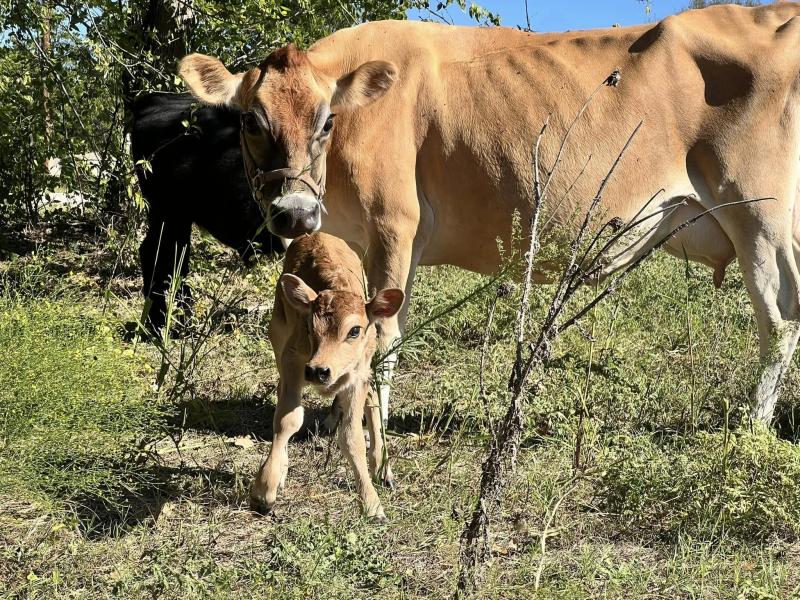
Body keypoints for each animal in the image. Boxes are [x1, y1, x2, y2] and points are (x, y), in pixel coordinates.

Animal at [178, 2, 800, 443]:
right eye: (250, 120)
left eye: (327, 119)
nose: (295, 212)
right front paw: (335, 415)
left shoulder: (393, 225)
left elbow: (384, 332)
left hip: (757, 212)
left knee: (780, 321)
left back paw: (752, 425)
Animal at [252, 231, 403, 518]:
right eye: (310, 328)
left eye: (354, 330)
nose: (318, 370)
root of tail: (315, 234)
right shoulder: (292, 360)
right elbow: (287, 420)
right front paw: (266, 488)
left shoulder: (358, 375)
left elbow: (352, 436)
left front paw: (372, 504)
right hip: (278, 335)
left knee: (372, 397)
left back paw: (383, 468)